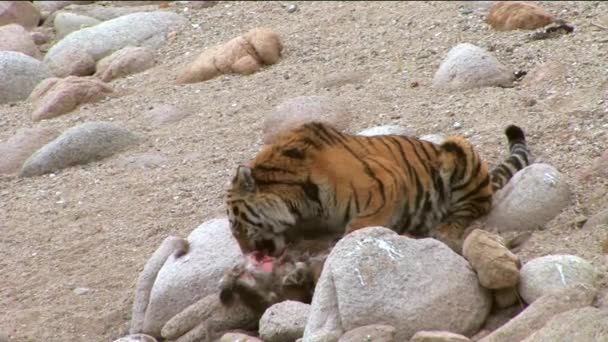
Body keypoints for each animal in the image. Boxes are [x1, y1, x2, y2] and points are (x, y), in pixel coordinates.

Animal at [226, 120, 528, 256]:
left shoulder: (385, 182)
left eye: (237, 225)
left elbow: (360, 225)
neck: (299, 204)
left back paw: (444, 228)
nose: (247, 255)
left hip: (457, 147)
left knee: (474, 206)